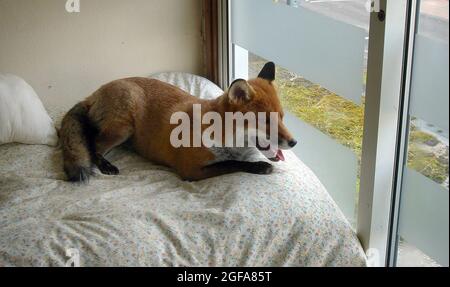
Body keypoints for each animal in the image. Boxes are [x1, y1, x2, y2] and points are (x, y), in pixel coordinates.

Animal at [60, 63, 298, 182]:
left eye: (282, 117)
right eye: (265, 121)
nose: (294, 142)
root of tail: (93, 93)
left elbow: (233, 162)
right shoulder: (191, 170)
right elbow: (231, 164)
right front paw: (258, 167)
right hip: (123, 127)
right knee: (92, 144)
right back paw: (105, 165)